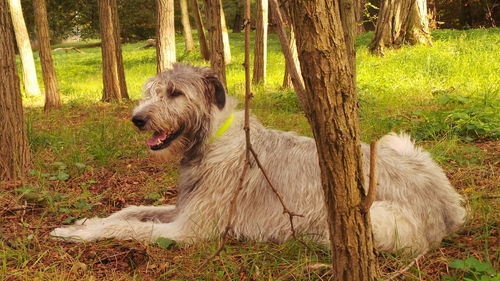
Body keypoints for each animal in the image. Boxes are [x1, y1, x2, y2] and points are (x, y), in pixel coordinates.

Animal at [49, 63, 464, 254]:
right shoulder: (185, 207)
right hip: (400, 142)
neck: (212, 139)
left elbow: (128, 228)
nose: (137, 119)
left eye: (175, 93)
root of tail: (449, 209)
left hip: (369, 217)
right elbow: (131, 211)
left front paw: (78, 233)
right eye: (150, 91)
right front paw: (86, 220)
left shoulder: (191, 230)